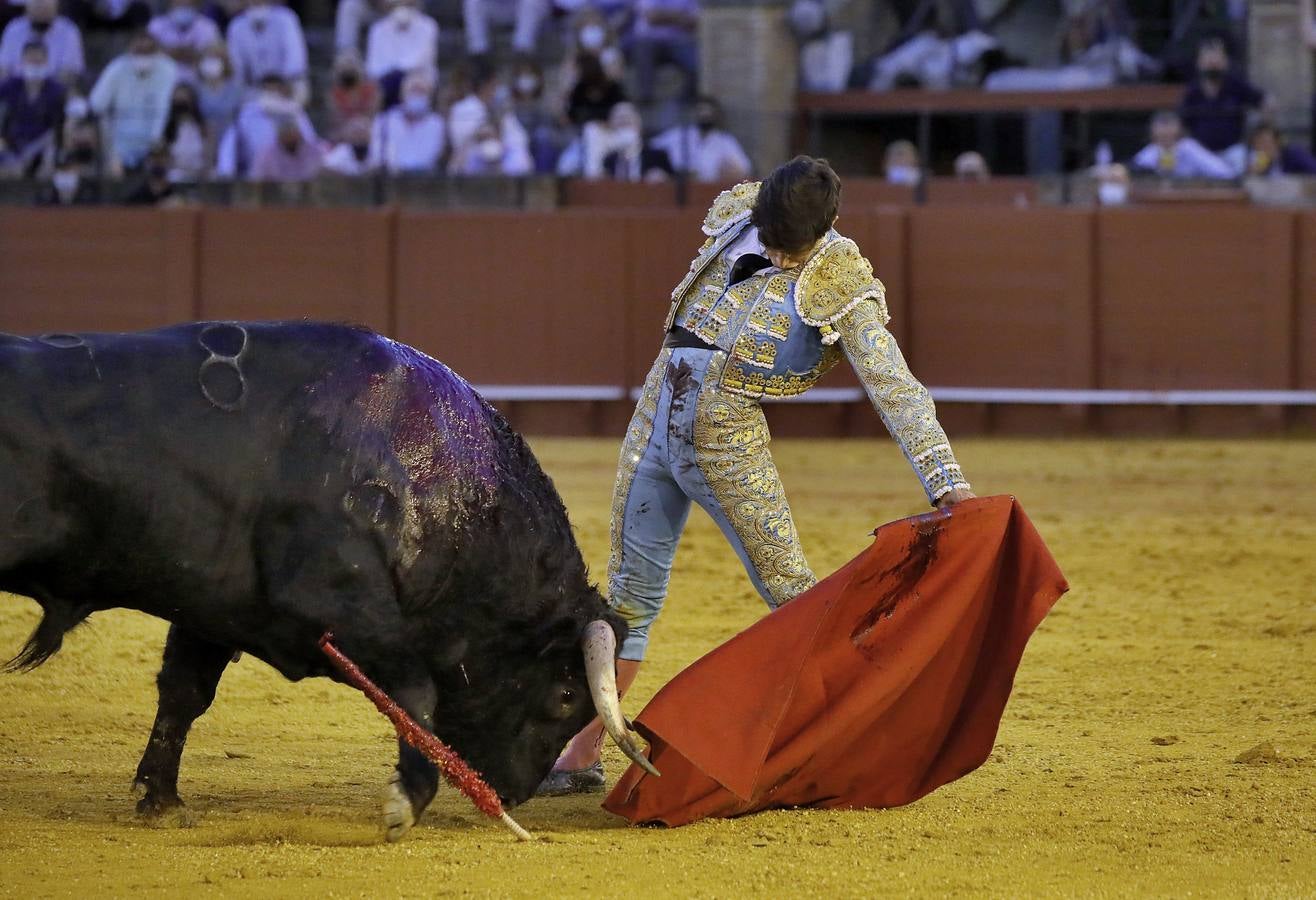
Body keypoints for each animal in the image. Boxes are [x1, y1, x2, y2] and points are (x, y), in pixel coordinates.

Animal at [0, 321, 631, 836]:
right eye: (565, 695)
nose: (514, 793)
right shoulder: (333, 605)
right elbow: (416, 694)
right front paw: (405, 802)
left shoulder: (211, 613)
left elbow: (183, 693)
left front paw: (162, 802)